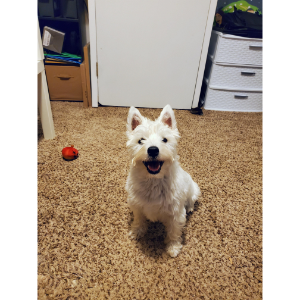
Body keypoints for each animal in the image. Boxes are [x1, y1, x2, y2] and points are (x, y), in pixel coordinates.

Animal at [125, 104, 200, 256]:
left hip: (194, 189)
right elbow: (139, 220)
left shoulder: (176, 214)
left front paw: (173, 247)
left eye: (164, 140)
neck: (153, 181)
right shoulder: (137, 206)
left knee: (191, 200)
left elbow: (174, 231)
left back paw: (189, 207)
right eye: (141, 140)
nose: (153, 150)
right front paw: (136, 232)